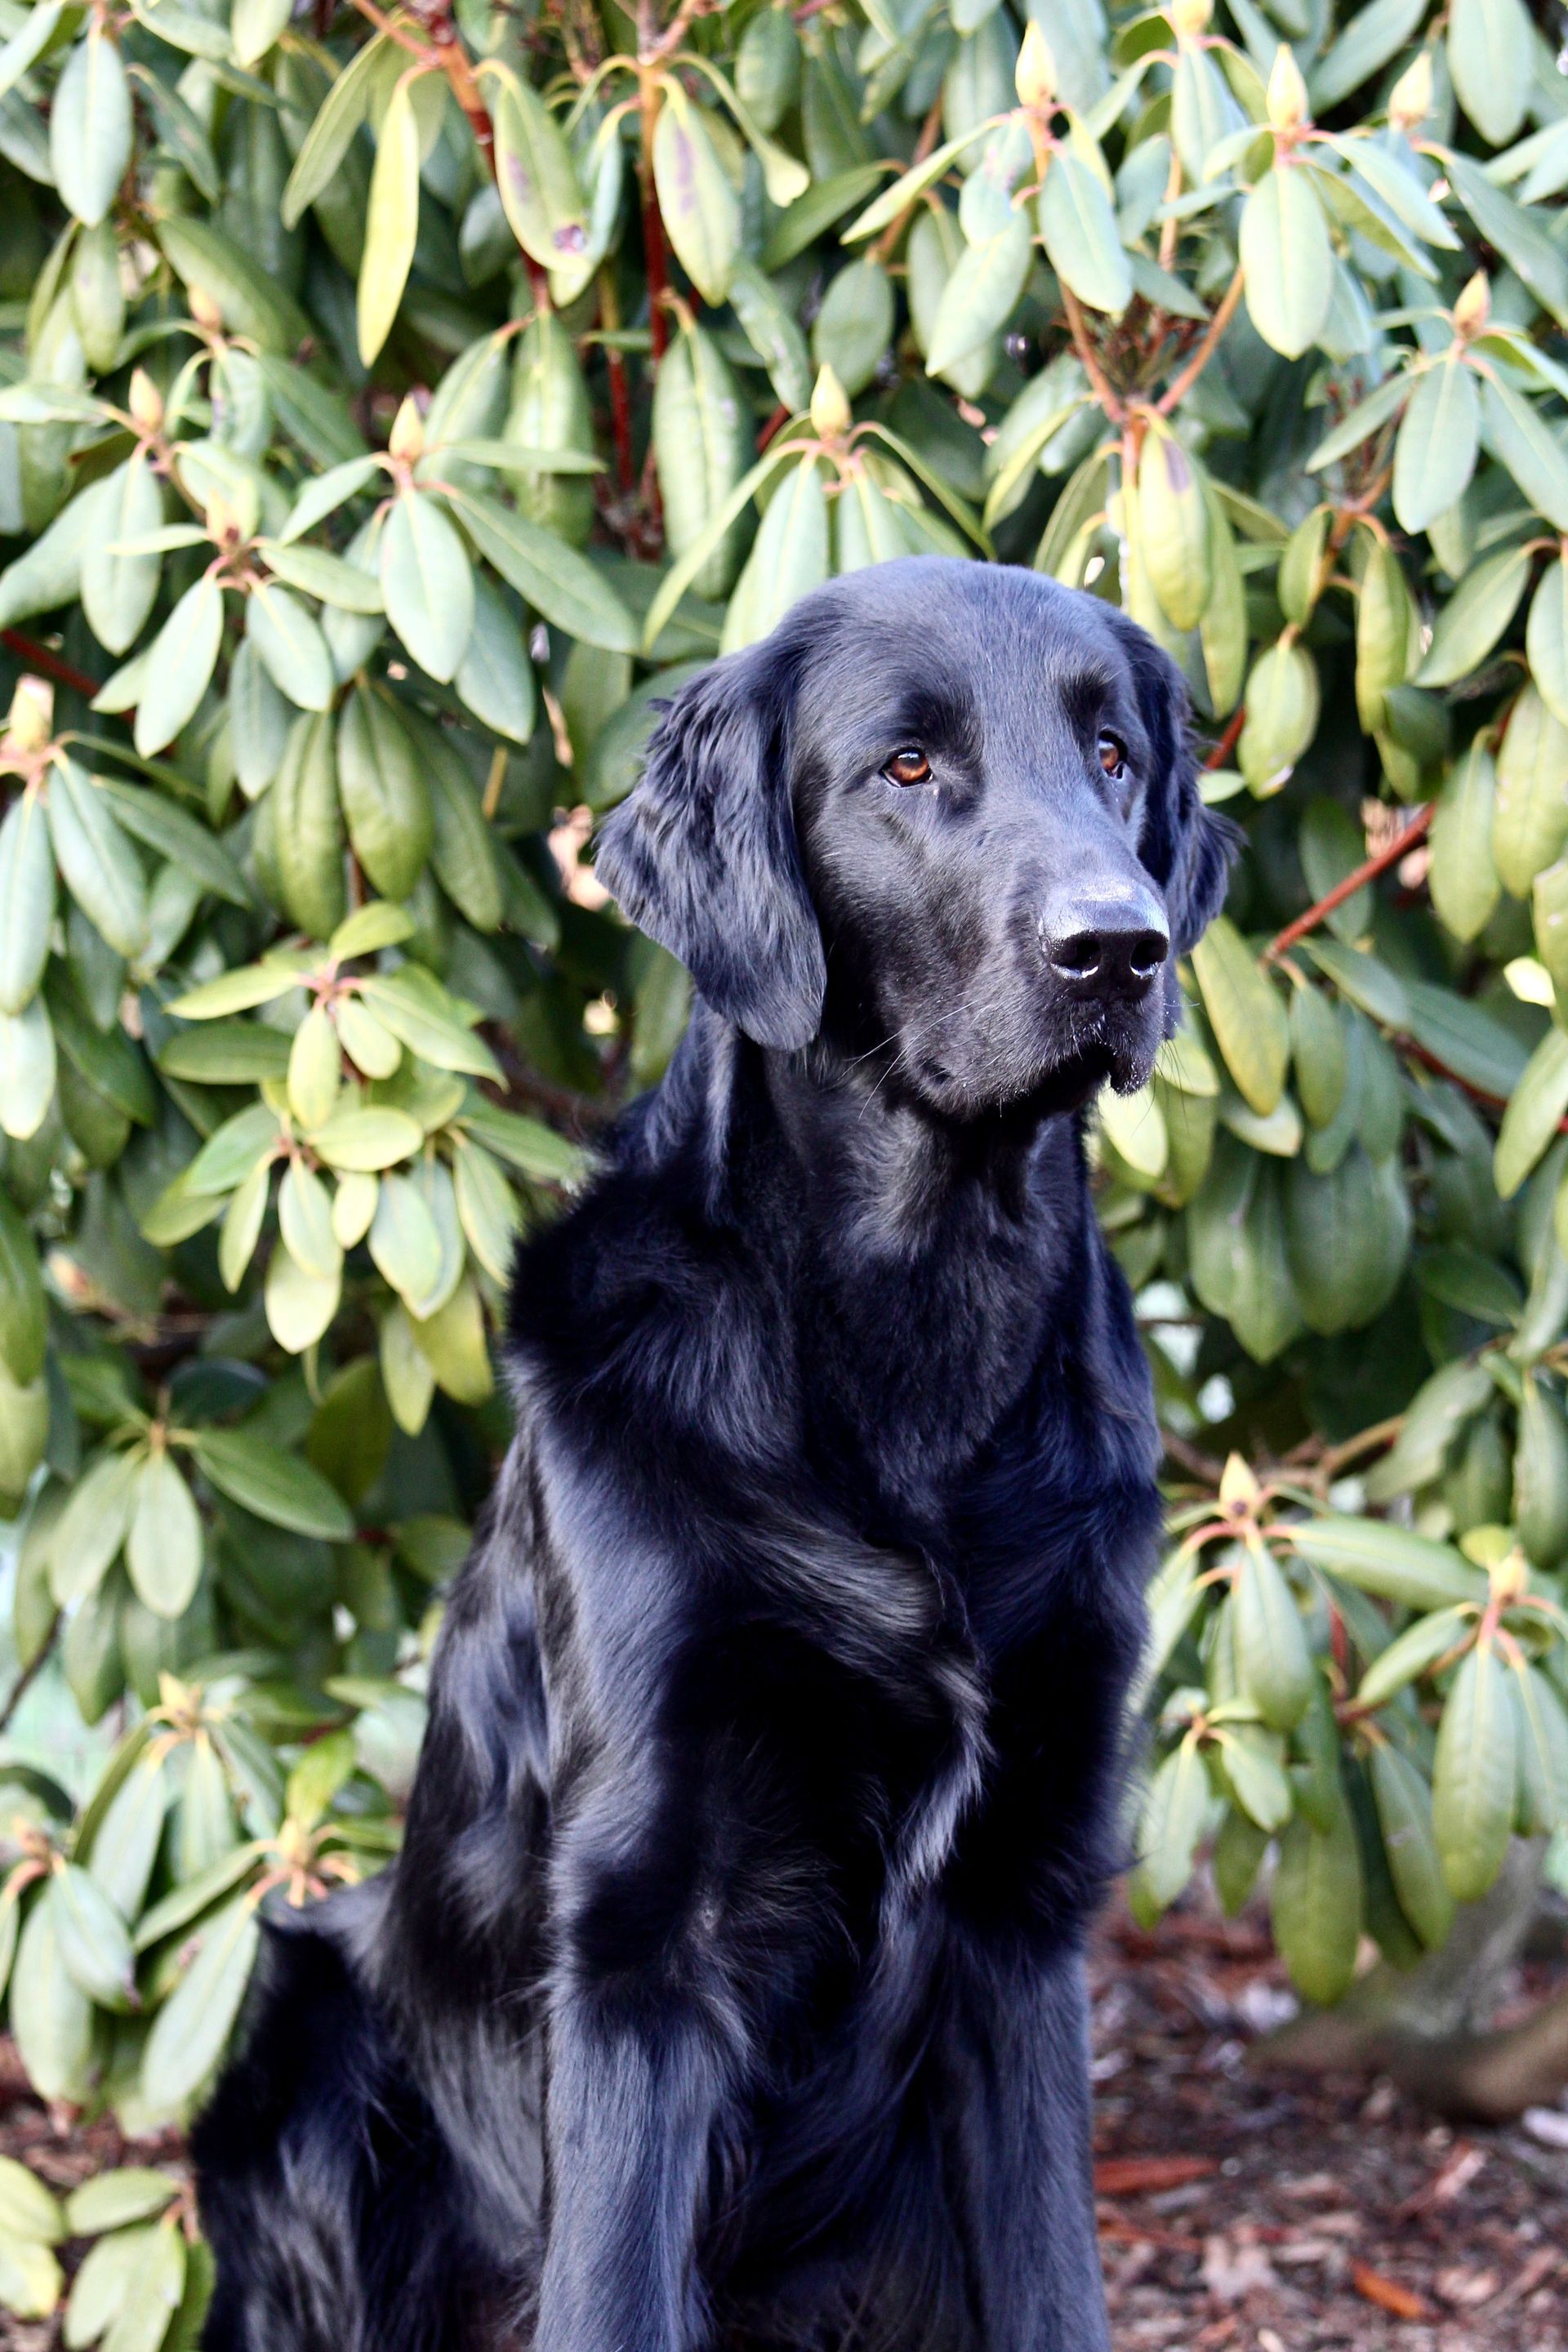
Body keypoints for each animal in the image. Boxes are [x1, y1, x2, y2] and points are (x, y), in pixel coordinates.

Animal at [194, 556, 1232, 2352]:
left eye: (1112, 755)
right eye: (906, 767)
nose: (1120, 946)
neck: (916, 1323)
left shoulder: (1023, 1904)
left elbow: (1051, 2285)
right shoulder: (640, 1935)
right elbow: (613, 2293)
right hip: (304, 2033)